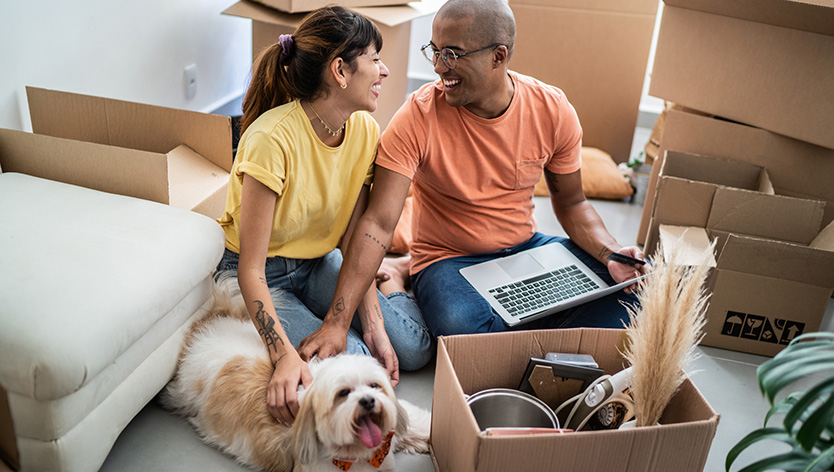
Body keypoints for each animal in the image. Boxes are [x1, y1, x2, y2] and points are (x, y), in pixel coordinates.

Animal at [165, 276, 432, 472]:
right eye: (343, 394)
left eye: (374, 385)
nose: (368, 401)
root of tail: (213, 323)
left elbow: (419, 422)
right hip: (185, 392)